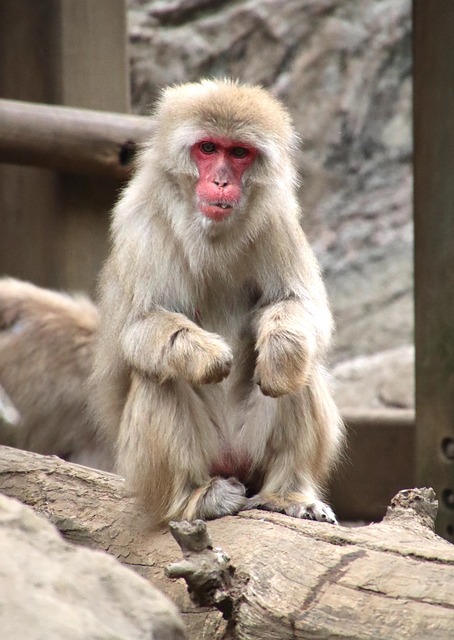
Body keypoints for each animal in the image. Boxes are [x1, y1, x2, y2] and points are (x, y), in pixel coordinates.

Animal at [89, 77, 344, 528]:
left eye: (239, 153)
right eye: (208, 148)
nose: (222, 182)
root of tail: (231, 460)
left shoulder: (277, 218)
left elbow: (300, 306)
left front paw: (279, 352)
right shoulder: (141, 222)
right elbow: (139, 328)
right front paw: (208, 356)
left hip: (251, 449)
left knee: (300, 369)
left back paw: (288, 491)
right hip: (155, 468)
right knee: (158, 375)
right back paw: (194, 497)